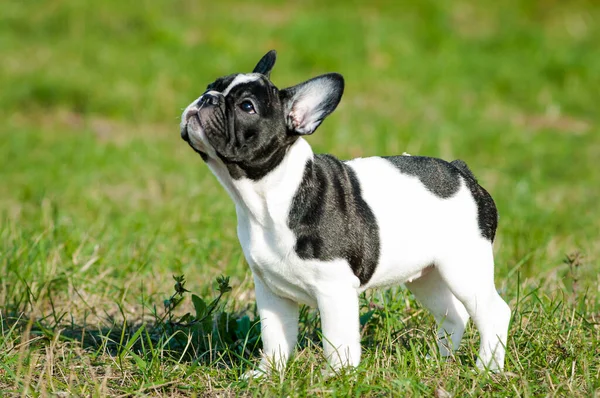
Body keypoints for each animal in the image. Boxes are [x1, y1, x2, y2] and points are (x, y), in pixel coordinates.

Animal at [179, 49, 510, 376]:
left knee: (494, 312)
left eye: (247, 106)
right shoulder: (272, 293)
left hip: (464, 269)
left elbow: (337, 342)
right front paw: (267, 374)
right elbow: (275, 338)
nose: (207, 98)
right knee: (453, 315)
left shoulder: (334, 290)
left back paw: (487, 368)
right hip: (427, 277)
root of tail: (462, 173)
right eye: (211, 85)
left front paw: (337, 378)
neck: (270, 195)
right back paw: (437, 361)